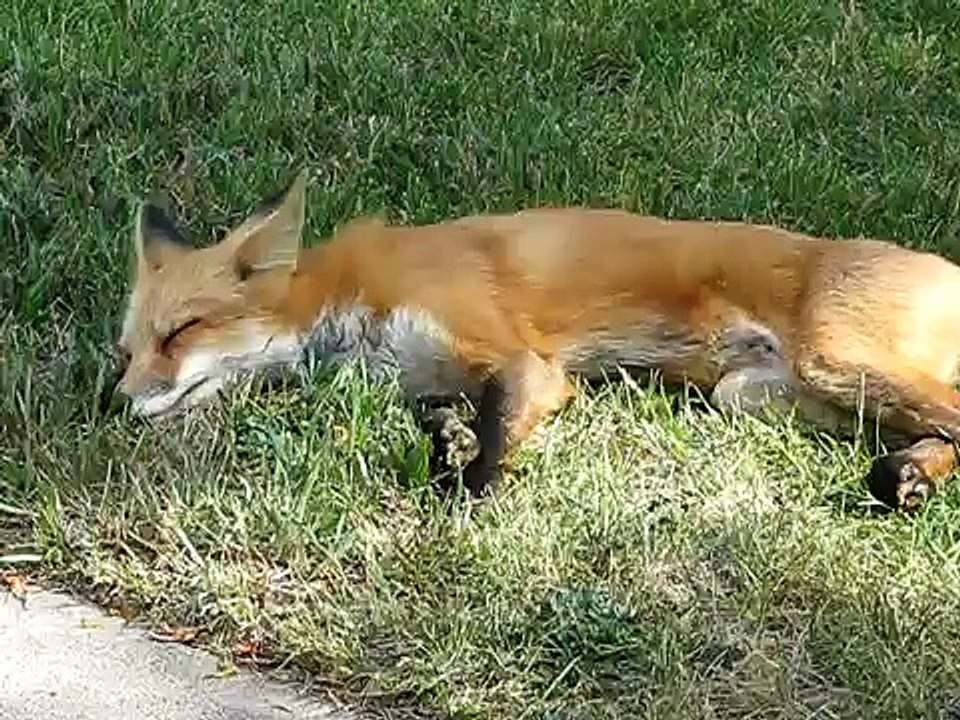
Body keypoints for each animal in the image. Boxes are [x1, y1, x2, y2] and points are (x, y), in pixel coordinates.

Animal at [111, 170, 960, 511]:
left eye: (180, 331)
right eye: (128, 351)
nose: (113, 402)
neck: (347, 316)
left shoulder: (525, 361)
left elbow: (496, 428)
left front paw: (470, 497)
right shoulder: (430, 373)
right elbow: (445, 417)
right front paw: (446, 445)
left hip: (830, 362)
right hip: (757, 396)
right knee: (939, 431)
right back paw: (910, 477)